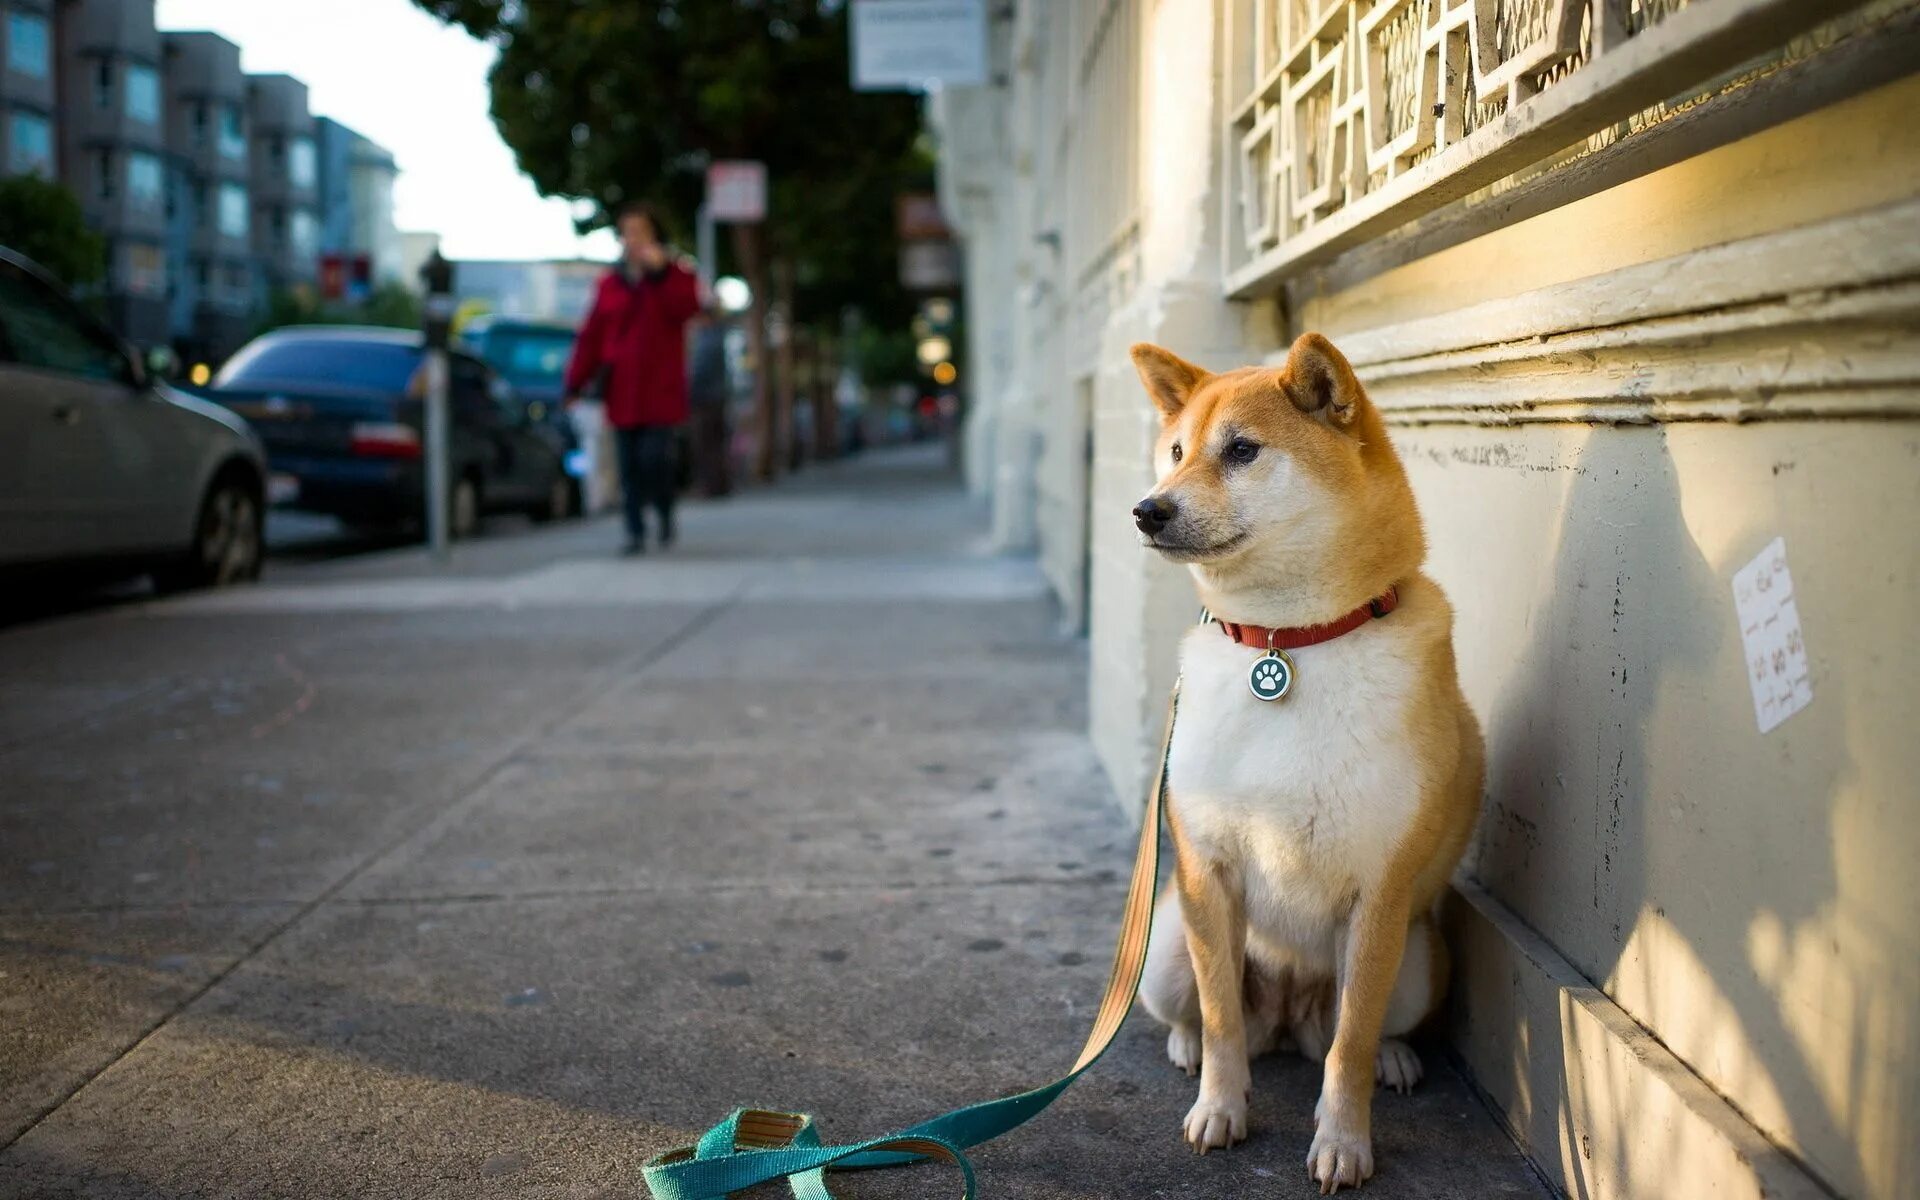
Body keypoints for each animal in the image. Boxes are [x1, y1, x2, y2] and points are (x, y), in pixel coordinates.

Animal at [1128, 334, 1489, 1190]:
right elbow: (1222, 1015)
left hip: (1420, 957)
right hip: (1165, 947)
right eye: (1177, 452)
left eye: (1242, 451)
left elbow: (1349, 1043)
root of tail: (1291, 1017)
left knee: (1357, 1031)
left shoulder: (1381, 895)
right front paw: (1220, 1106)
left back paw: (1395, 1058)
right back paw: (1186, 1046)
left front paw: (1344, 1141)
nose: (1148, 508)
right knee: (1208, 1012)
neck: (1285, 644)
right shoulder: (1209, 871)